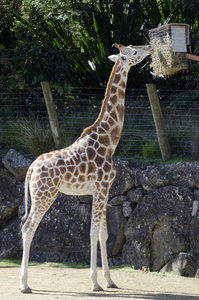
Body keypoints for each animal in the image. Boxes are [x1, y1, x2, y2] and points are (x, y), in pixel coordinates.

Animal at [20, 43, 153, 294]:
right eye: (133, 52)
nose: (149, 47)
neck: (109, 142)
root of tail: (31, 168)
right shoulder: (100, 188)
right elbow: (92, 234)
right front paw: (95, 283)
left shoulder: (104, 190)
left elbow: (104, 233)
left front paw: (110, 280)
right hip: (44, 195)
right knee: (27, 228)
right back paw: (24, 284)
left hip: (42, 194)